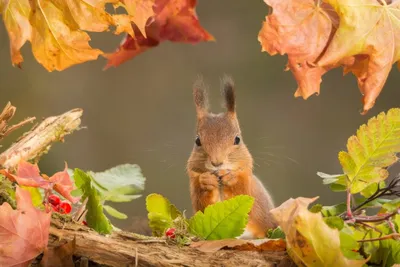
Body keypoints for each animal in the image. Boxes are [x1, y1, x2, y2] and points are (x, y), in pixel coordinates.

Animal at [187, 76, 276, 240]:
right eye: (197, 141)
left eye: (237, 139)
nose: (217, 162)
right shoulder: (194, 186)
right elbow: (204, 206)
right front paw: (206, 181)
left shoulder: (248, 184)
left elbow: (244, 193)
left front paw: (231, 178)